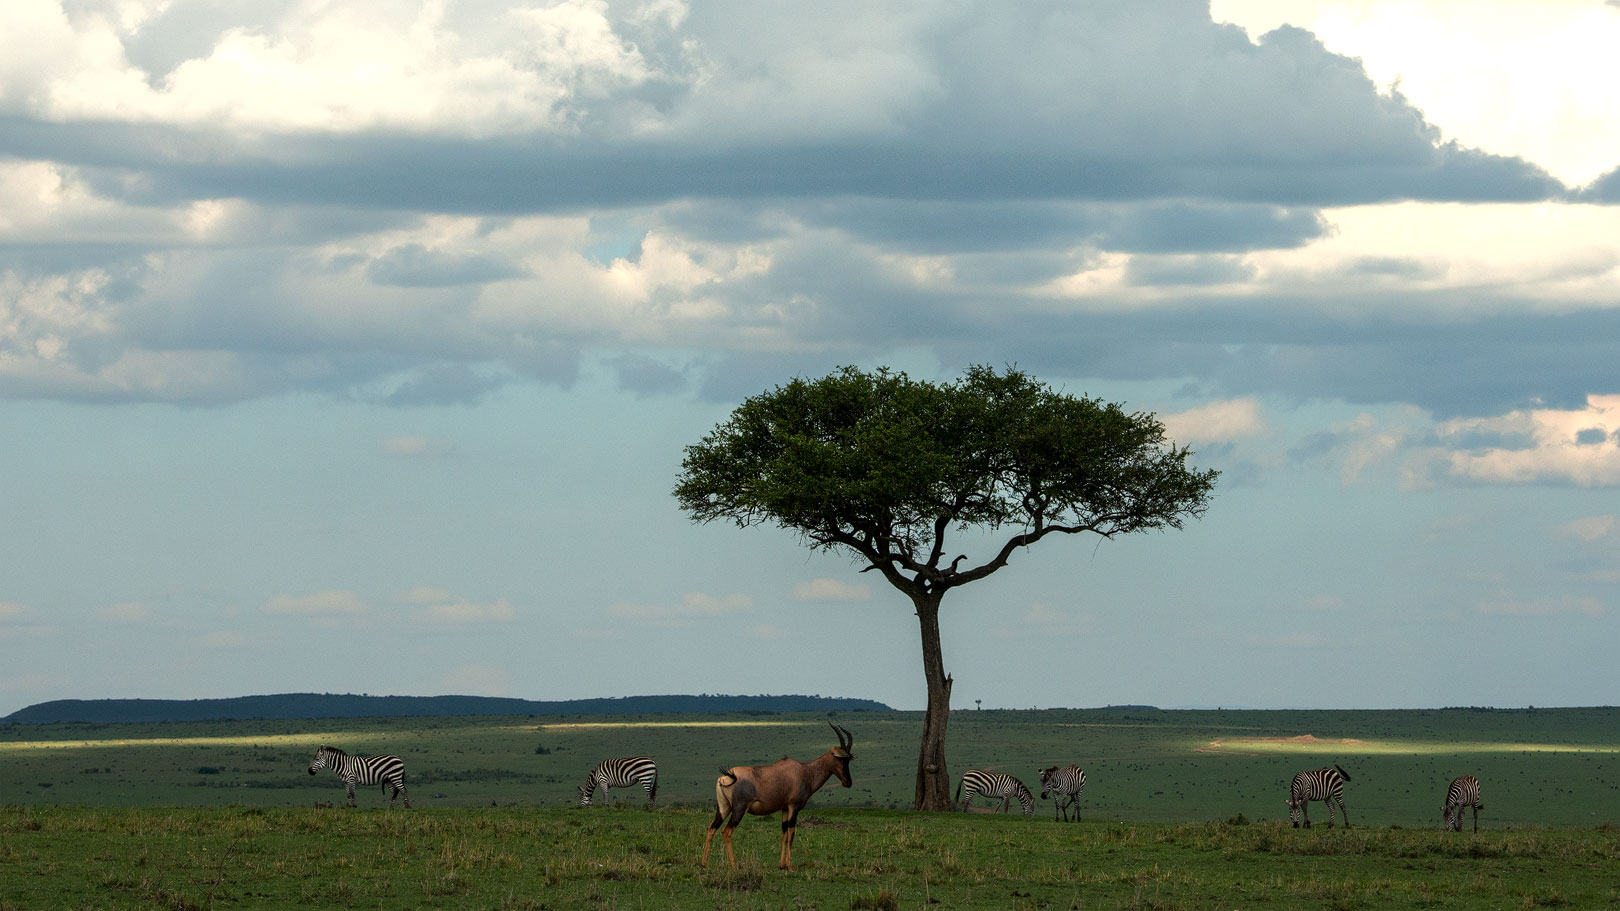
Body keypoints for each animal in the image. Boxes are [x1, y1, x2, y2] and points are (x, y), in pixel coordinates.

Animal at [699, 722, 855, 862]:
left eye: (848, 760)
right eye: (841, 759)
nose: (848, 782)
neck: (803, 771)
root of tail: (726, 777)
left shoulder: (784, 808)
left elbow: (784, 834)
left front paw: (782, 865)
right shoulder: (794, 806)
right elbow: (792, 832)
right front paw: (789, 866)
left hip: (723, 808)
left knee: (711, 828)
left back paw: (704, 863)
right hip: (739, 809)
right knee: (726, 832)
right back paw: (734, 866)